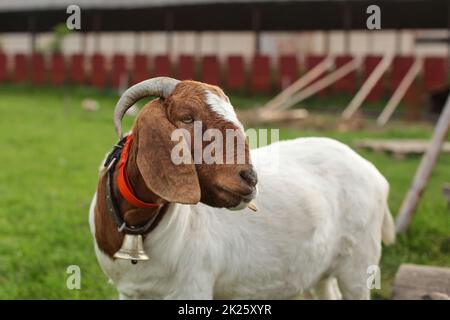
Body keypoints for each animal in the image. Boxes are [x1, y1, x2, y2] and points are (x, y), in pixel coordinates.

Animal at [89, 77, 396, 300]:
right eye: (187, 117)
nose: (250, 178)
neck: (135, 226)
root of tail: (373, 172)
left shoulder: (193, 286)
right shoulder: (131, 293)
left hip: (359, 264)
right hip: (321, 271)